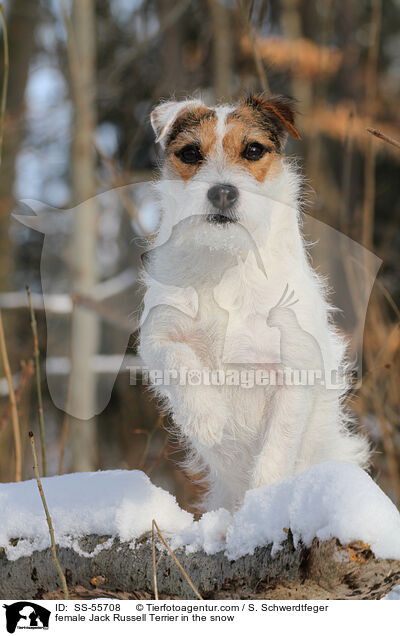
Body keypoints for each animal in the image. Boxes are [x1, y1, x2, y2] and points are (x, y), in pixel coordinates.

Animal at [139, 94, 370, 512]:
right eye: (191, 153)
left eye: (253, 150)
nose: (222, 192)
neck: (226, 261)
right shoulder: (158, 337)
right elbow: (178, 359)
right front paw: (206, 417)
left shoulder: (294, 369)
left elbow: (278, 444)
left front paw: (263, 500)